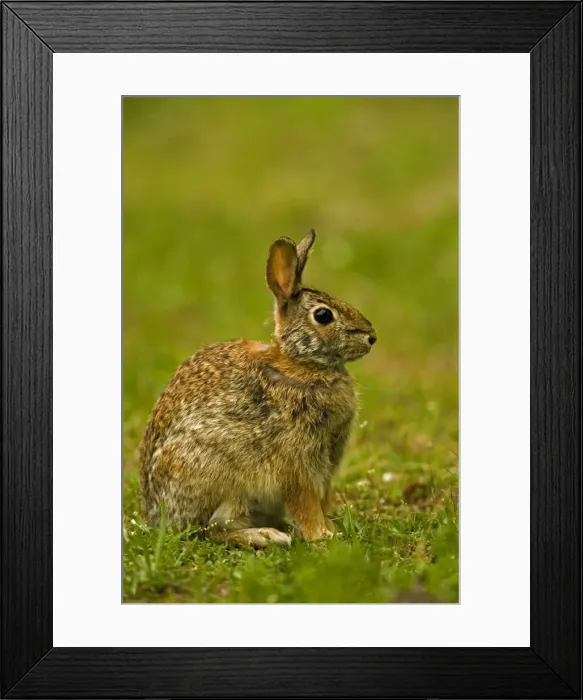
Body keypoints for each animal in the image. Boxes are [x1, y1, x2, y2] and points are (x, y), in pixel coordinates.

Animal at [139, 230, 376, 547]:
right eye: (324, 316)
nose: (371, 336)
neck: (300, 363)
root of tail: (158, 518)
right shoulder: (296, 460)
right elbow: (305, 501)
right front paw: (323, 536)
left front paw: (329, 529)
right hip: (224, 480)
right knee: (214, 529)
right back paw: (267, 536)